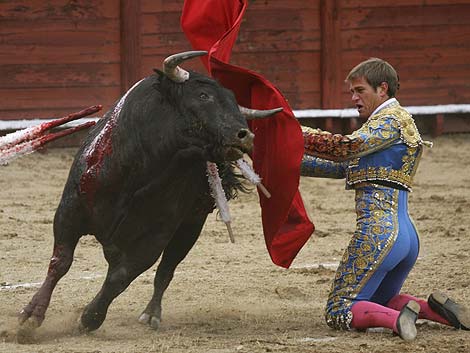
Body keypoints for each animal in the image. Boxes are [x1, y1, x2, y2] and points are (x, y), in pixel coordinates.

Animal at [19, 51, 280, 332]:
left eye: (233, 101)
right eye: (203, 96)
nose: (246, 136)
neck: (140, 174)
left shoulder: (156, 237)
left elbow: (121, 277)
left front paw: (90, 318)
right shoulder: (70, 210)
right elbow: (61, 262)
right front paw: (31, 315)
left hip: (191, 225)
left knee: (166, 269)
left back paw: (151, 314)